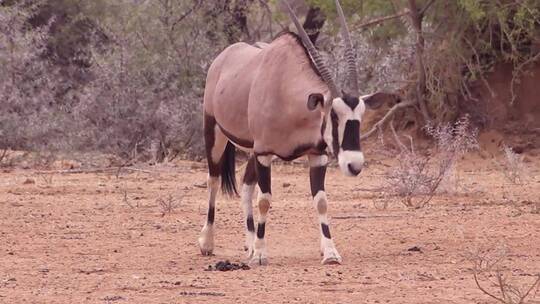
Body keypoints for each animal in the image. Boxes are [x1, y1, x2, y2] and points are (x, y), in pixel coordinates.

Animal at [197, 0, 396, 264]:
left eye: (361, 115)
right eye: (333, 115)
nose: (354, 165)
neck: (286, 92)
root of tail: (223, 57)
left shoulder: (315, 155)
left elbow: (321, 201)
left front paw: (330, 252)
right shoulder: (264, 153)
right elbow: (265, 200)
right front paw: (261, 254)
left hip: (252, 149)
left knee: (246, 186)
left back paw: (249, 244)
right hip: (215, 133)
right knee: (214, 180)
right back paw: (208, 243)